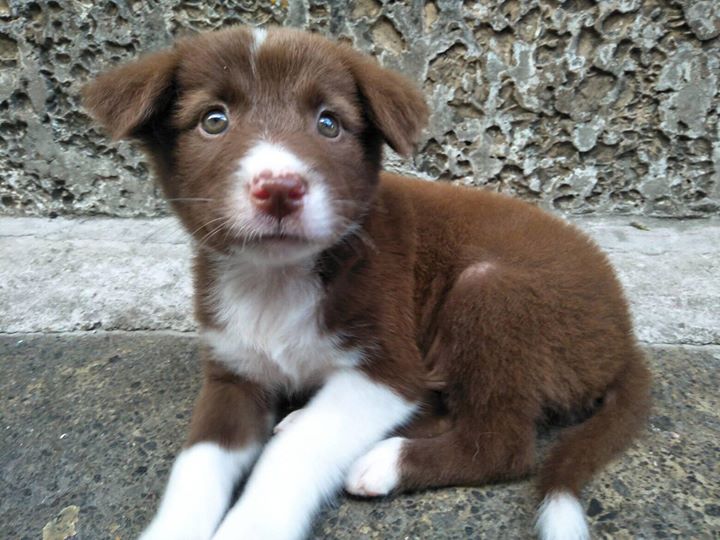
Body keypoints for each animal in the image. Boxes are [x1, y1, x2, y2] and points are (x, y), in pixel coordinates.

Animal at [84, 25, 652, 540]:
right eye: (214, 120)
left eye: (328, 123)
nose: (280, 189)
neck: (277, 279)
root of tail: (626, 341)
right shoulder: (233, 371)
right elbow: (196, 464)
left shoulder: (388, 365)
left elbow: (297, 452)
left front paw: (254, 524)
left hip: (492, 293)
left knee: (502, 445)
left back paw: (385, 462)